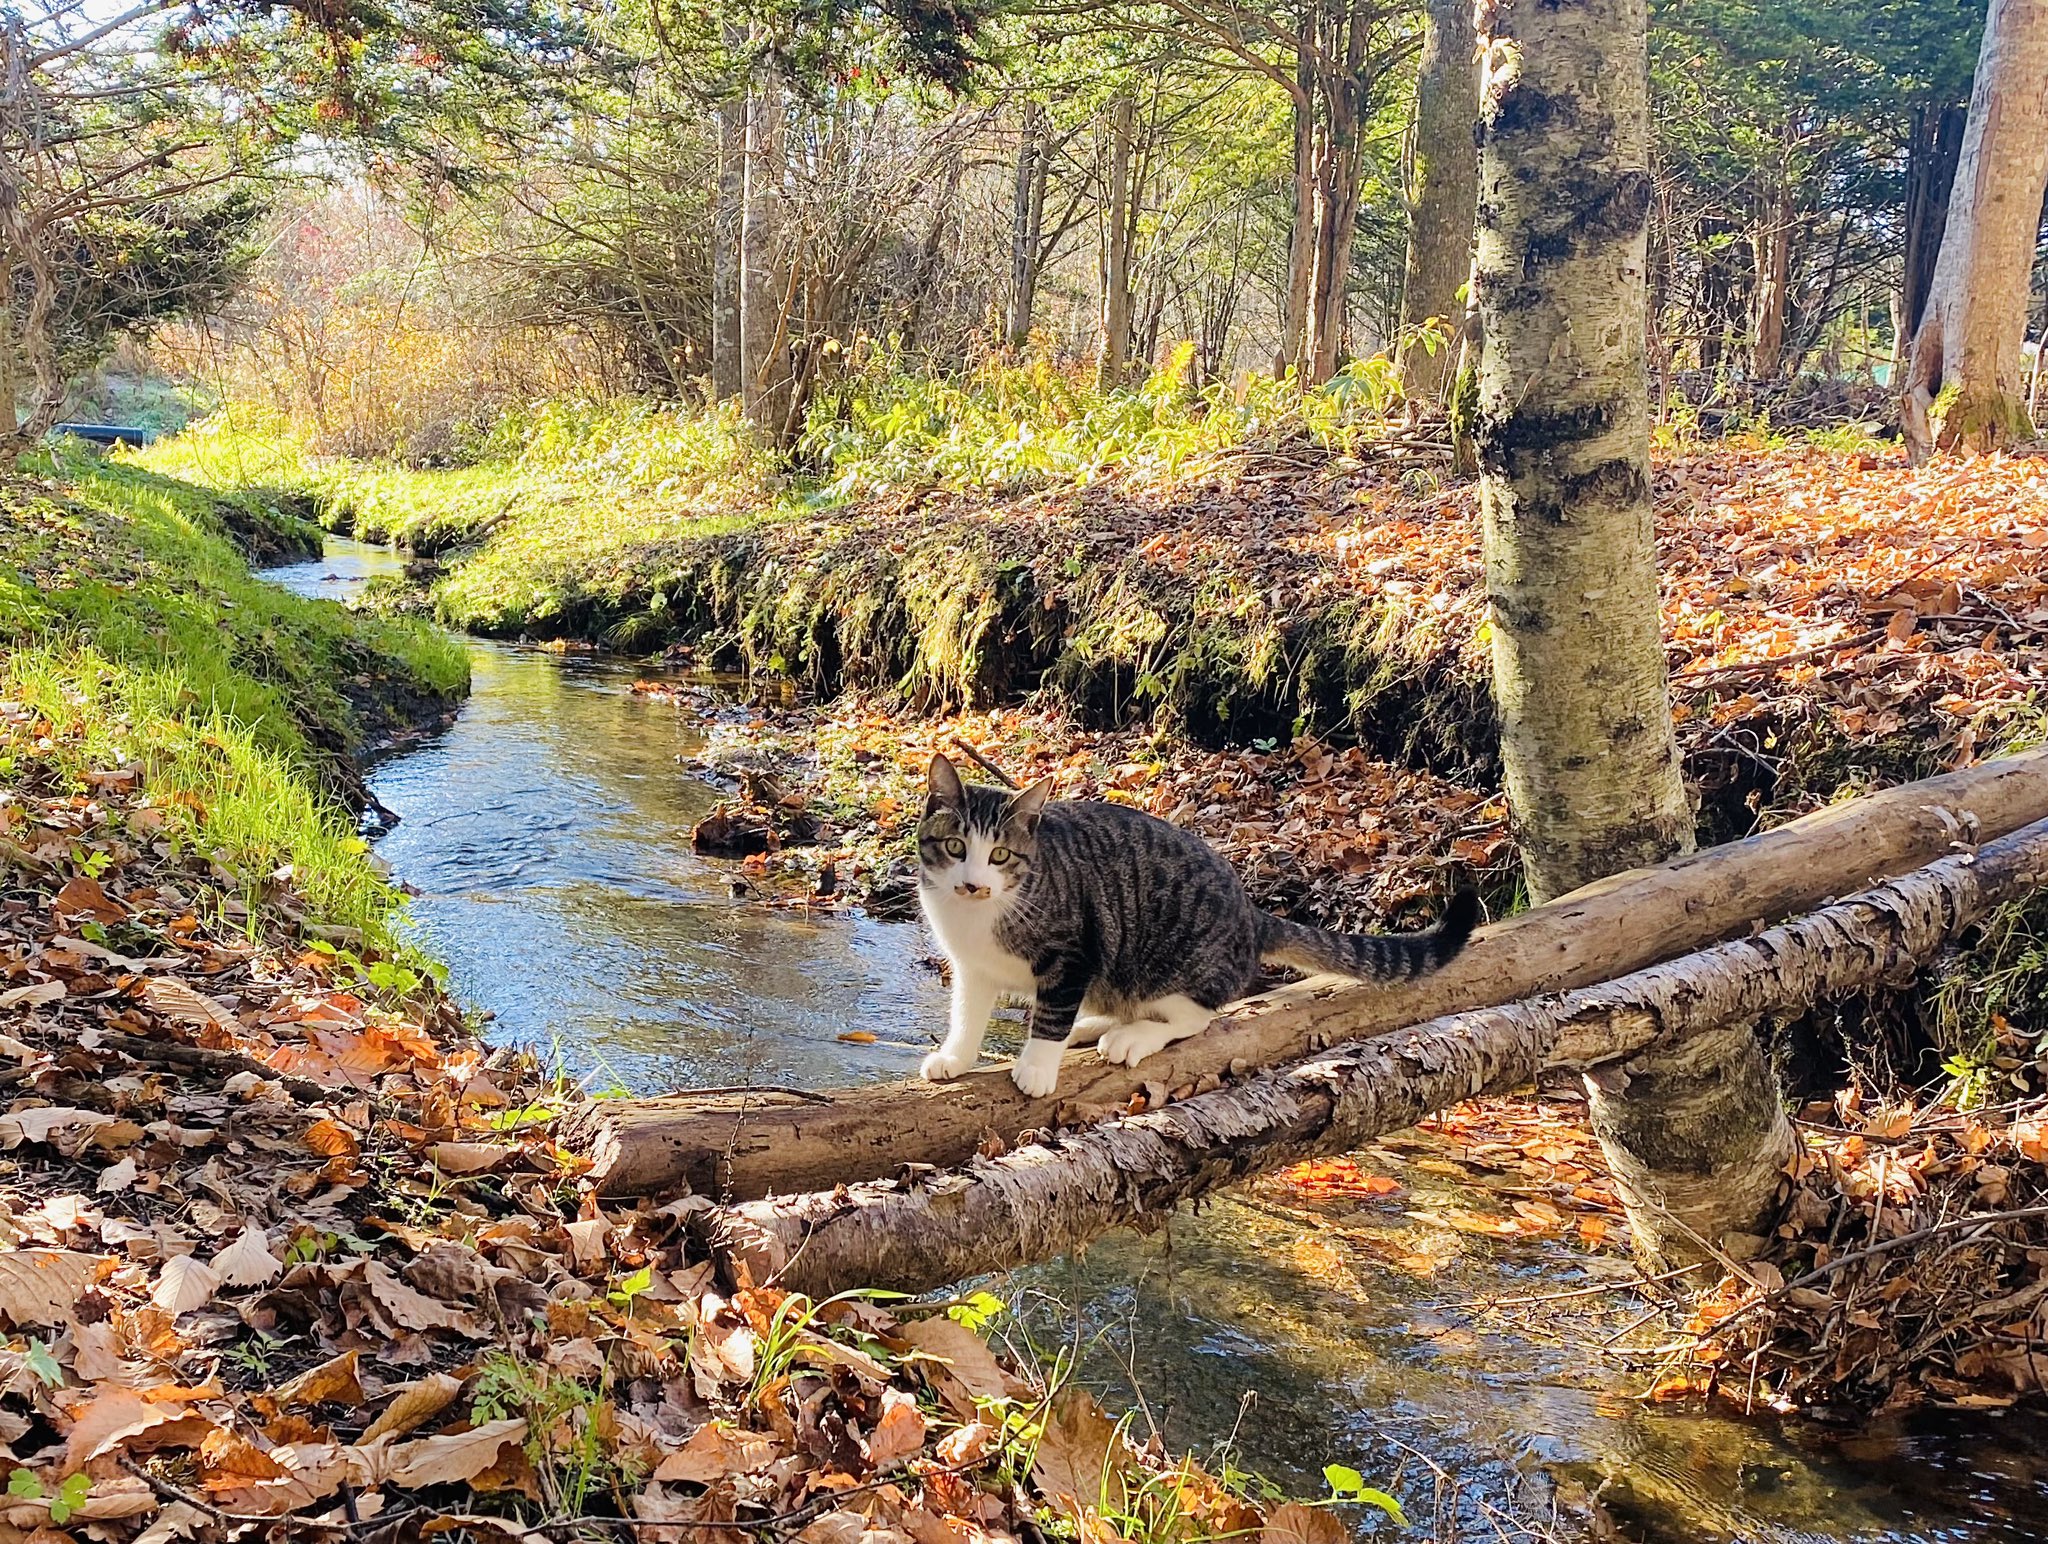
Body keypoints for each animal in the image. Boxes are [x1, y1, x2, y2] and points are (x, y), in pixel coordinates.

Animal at [921, 749, 1482, 1097]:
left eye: (999, 855)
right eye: (955, 847)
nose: (973, 884)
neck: (983, 914)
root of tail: (1250, 913)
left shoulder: (1074, 951)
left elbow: (1053, 1013)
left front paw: (1036, 1067)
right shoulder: (972, 967)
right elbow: (967, 1013)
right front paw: (956, 1057)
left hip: (1167, 960)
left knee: (1198, 1016)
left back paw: (1131, 1036)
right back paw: (1099, 1023)